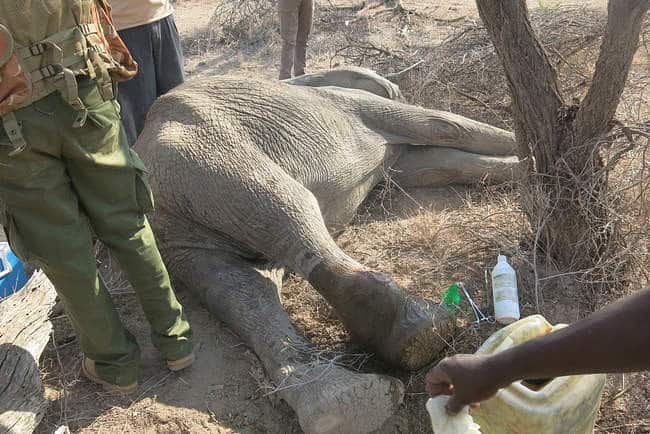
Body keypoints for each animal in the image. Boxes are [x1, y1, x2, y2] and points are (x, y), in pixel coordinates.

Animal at [134, 66, 518, 433]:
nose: (395, 87)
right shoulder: (352, 104)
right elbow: (444, 126)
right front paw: (526, 154)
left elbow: (435, 164)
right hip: (204, 150)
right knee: (287, 208)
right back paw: (419, 335)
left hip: (180, 221)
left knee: (243, 288)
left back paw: (344, 405)